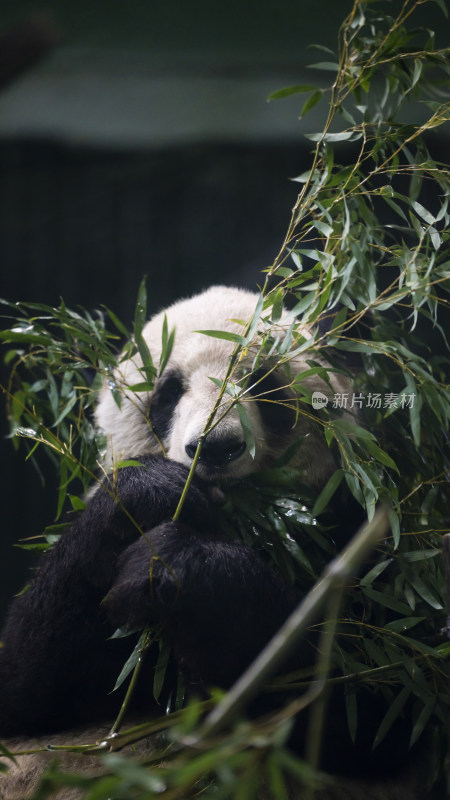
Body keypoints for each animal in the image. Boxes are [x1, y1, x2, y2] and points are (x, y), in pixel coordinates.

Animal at [0, 288, 436, 800]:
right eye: (169, 392)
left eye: (265, 384)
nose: (216, 447)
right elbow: (26, 690)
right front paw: (153, 494)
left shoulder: (365, 539)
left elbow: (377, 698)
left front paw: (180, 568)